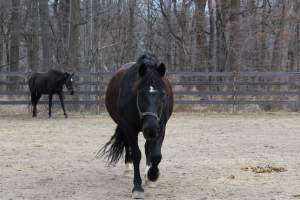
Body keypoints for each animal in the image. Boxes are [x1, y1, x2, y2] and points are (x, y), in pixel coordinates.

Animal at [99, 53, 173, 198]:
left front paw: (152, 176)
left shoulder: (161, 126)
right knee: (128, 145)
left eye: (163, 94)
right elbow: (136, 155)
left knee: (148, 147)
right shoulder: (129, 127)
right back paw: (128, 167)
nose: (150, 128)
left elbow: (156, 154)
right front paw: (137, 187)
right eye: (140, 93)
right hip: (125, 126)